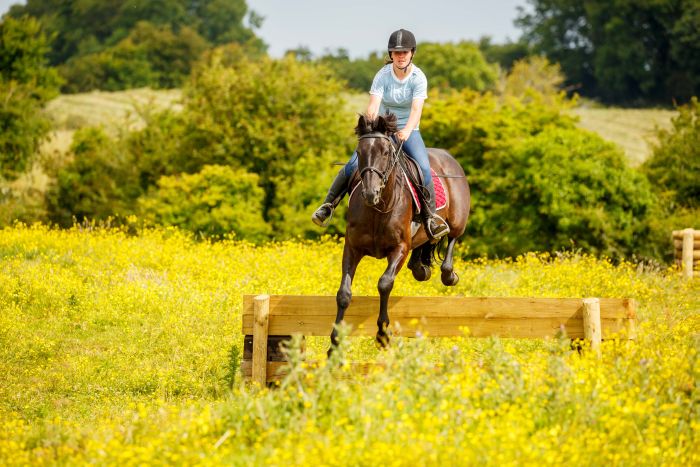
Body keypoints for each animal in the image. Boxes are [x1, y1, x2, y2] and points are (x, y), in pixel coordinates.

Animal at [330, 114, 474, 352]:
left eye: (385, 152)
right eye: (359, 152)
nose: (370, 193)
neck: (378, 208)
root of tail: (449, 157)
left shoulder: (399, 248)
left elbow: (384, 283)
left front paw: (382, 335)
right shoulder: (352, 247)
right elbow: (344, 293)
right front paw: (335, 343)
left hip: (457, 221)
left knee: (451, 239)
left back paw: (449, 275)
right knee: (426, 242)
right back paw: (420, 269)